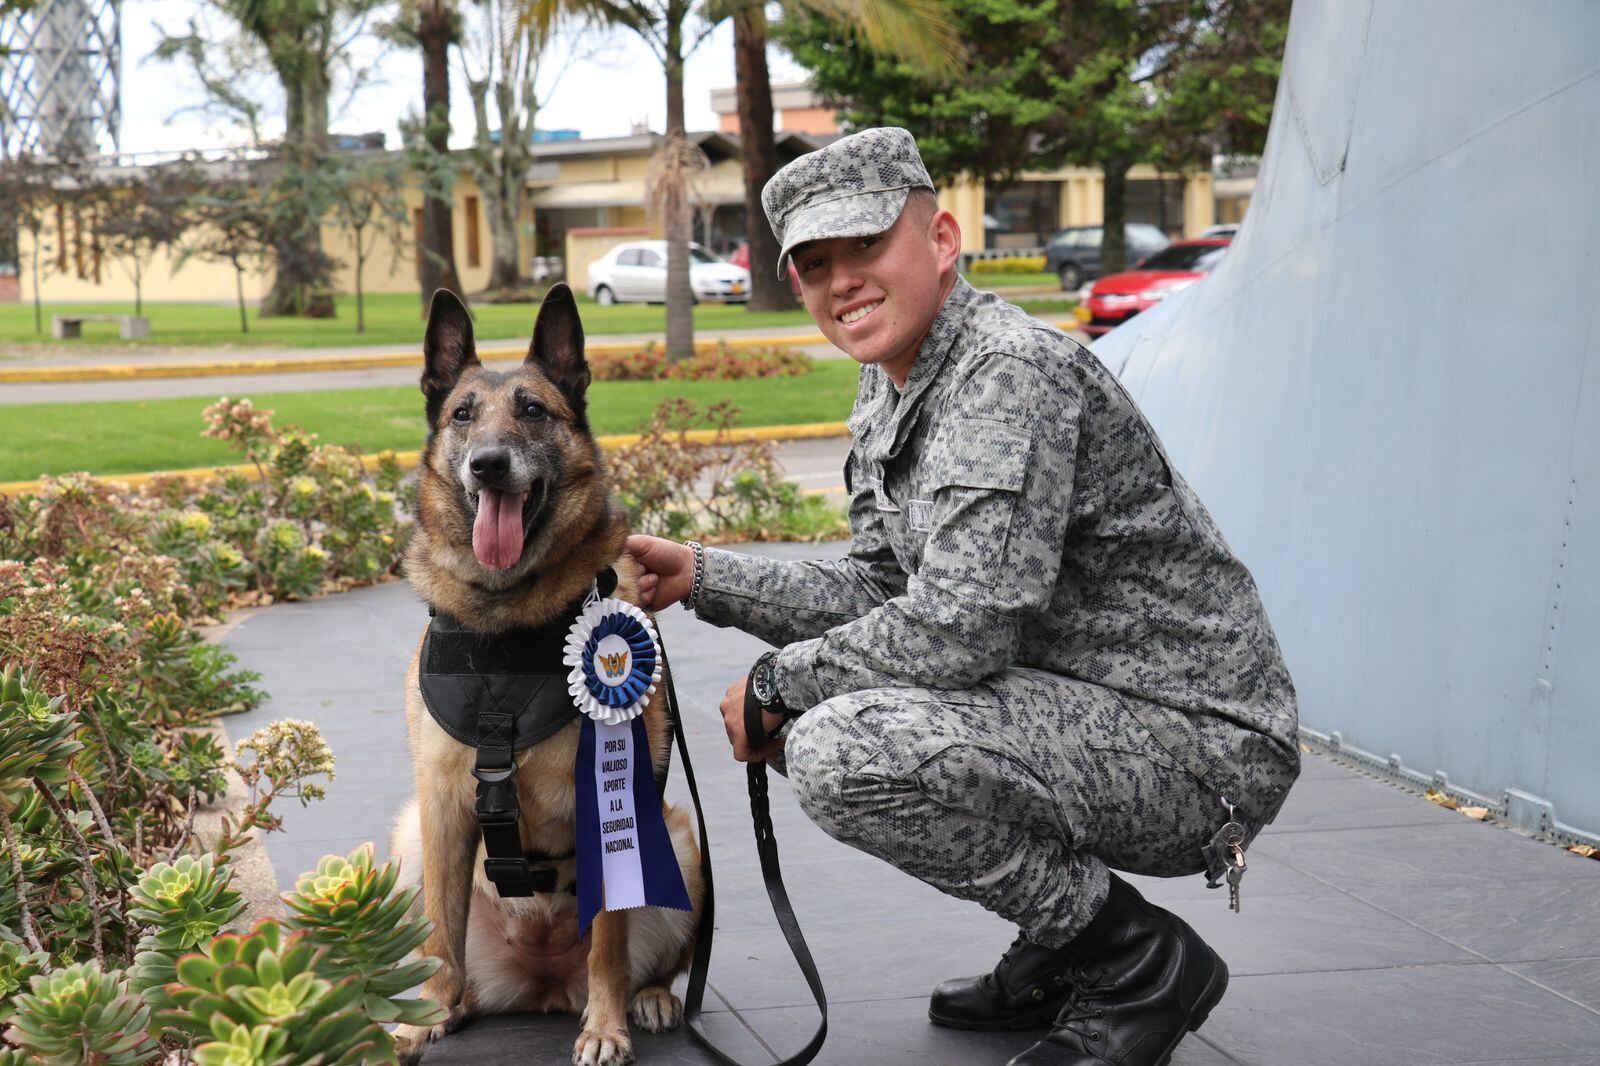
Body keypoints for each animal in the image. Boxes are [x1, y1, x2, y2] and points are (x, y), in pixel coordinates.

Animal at [390, 284, 704, 1062]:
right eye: (463, 415)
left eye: (533, 410)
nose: (488, 464)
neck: (506, 624)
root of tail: (542, 984)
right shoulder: (441, 806)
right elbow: (439, 937)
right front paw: (421, 1017)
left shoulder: (611, 811)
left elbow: (609, 945)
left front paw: (607, 1027)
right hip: (410, 838)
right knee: (454, 958)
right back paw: (454, 1006)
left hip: (682, 847)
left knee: (645, 962)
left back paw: (644, 1000)